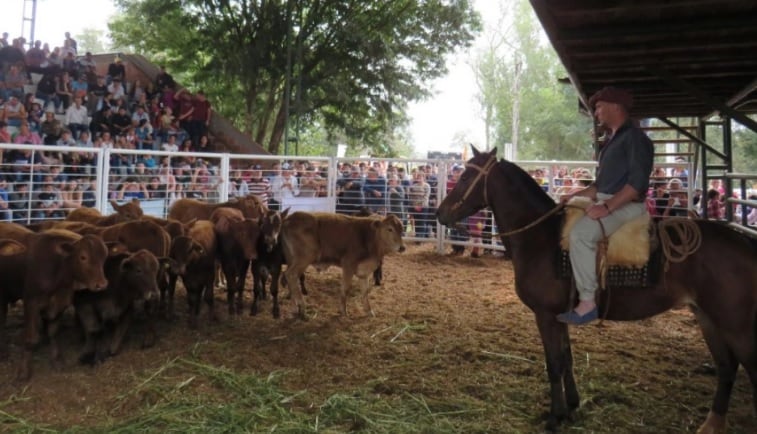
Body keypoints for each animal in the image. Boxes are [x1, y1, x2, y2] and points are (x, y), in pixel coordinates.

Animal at [434, 147, 752, 434]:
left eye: (465, 177)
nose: (440, 213)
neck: (542, 237)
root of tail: (745, 244)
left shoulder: (545, 315)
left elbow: (554, 363)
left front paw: (555, 417)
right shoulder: (562, 315)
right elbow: (567, 359)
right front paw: (572, 406)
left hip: (737, 328)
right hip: (708, 320)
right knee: (727, 369)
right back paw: (711, 424)